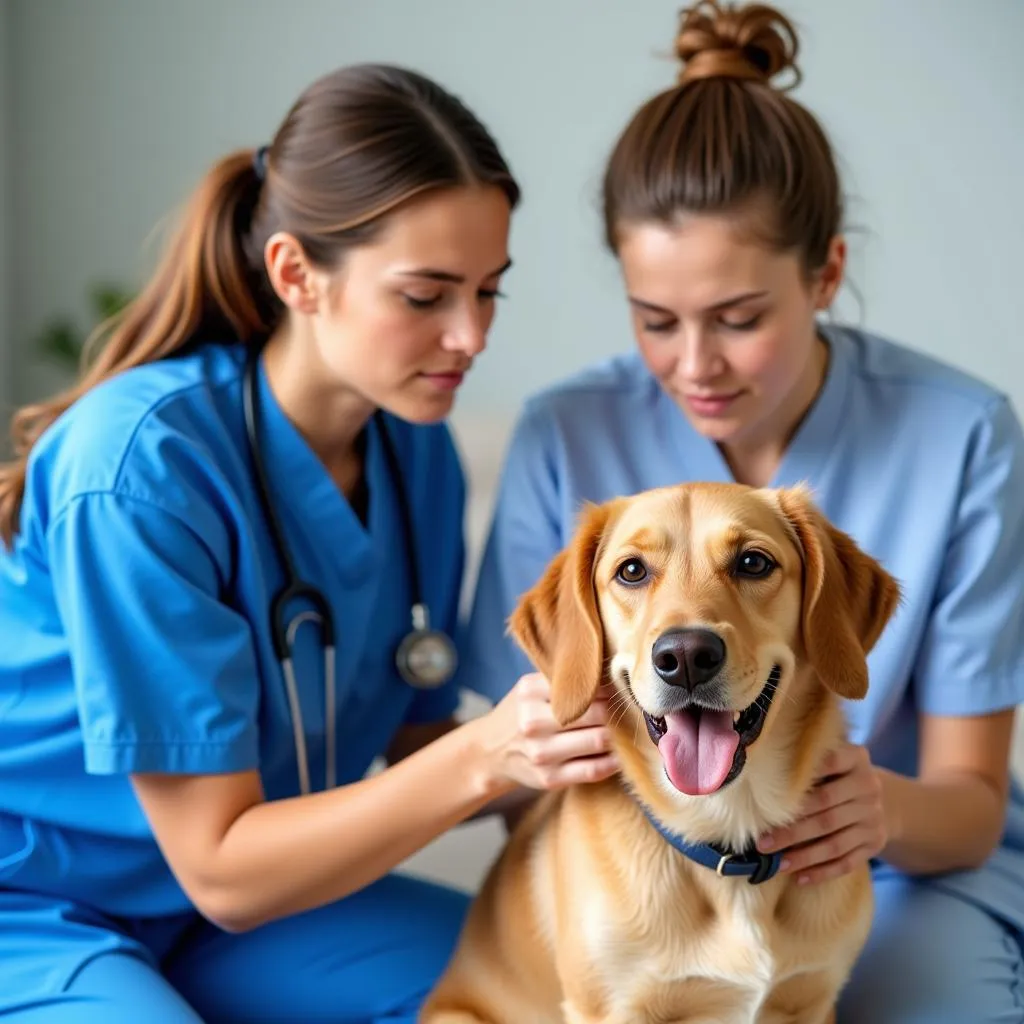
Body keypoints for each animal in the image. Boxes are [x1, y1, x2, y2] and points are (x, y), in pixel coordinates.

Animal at [419, 481, 901, 1024]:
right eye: (632, 571)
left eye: (753, 562)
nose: (686, 656)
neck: (728, 829)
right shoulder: (609, 1009)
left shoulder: (813, 1001)